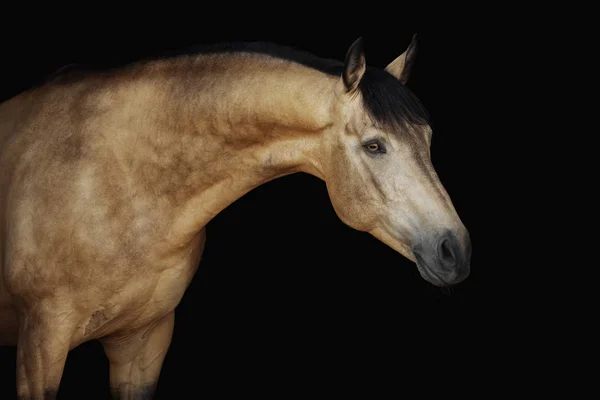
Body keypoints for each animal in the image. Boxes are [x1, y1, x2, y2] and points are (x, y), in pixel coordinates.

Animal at [0, 36, 468, 398]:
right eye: (374, 146)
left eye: (428, 139)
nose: (456, 250)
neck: (118, 179)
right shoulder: (41, 347)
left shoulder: (142, 345)